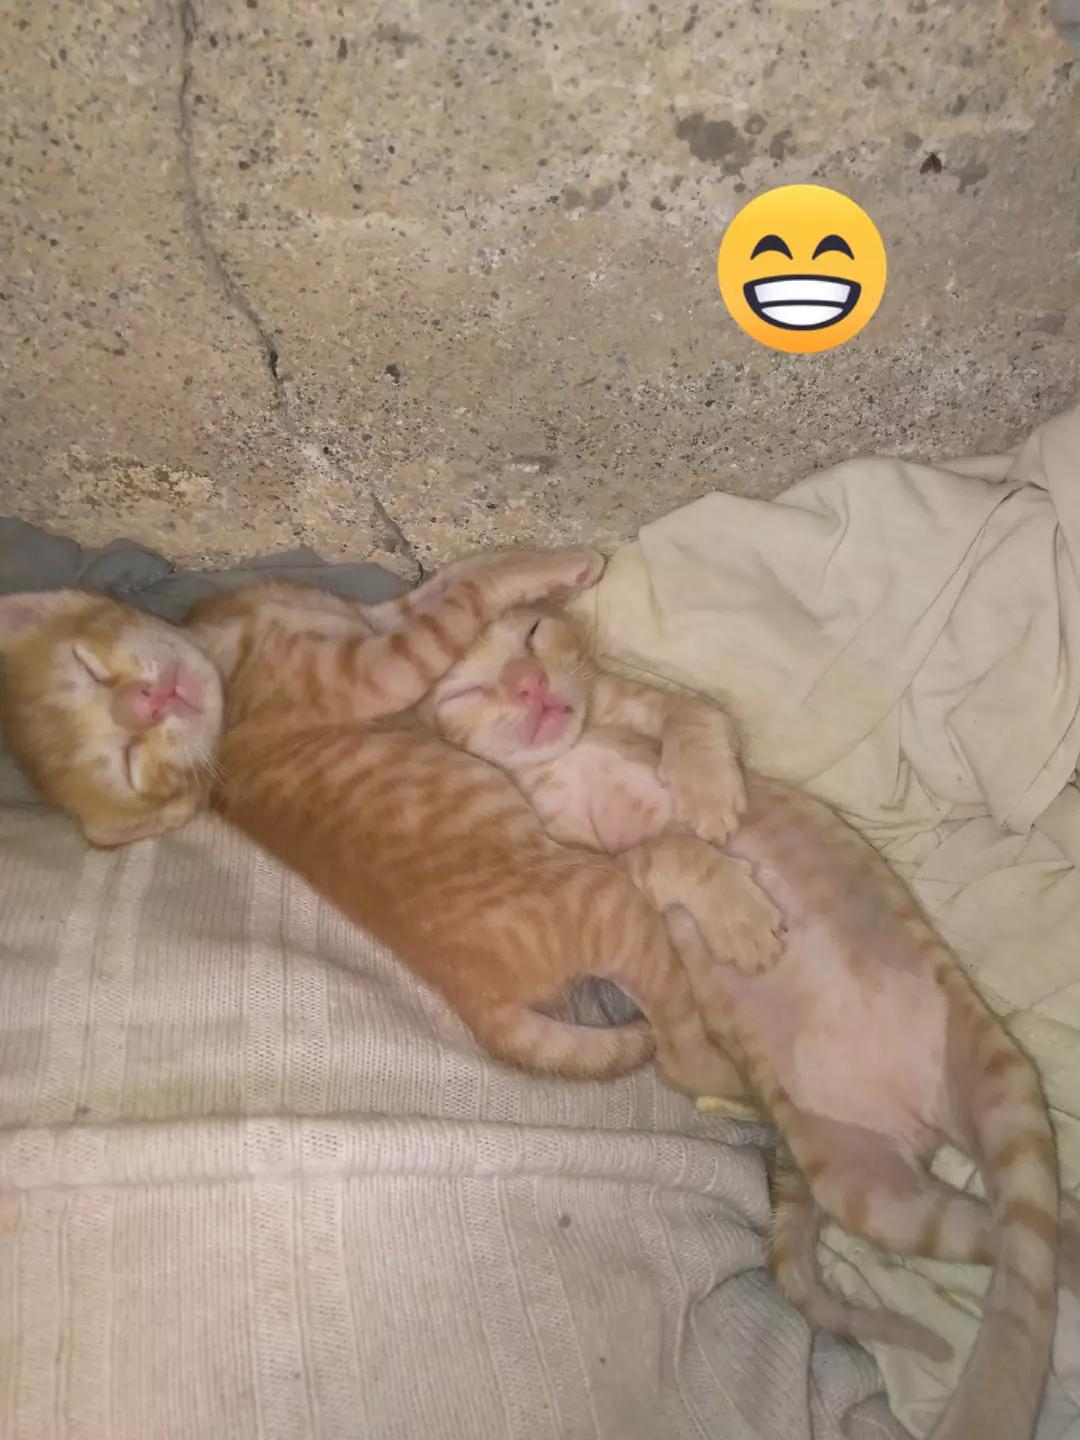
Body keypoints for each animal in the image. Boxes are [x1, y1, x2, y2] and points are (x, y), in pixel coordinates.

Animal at [426, 600, 1069, 1440]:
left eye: (531, 634)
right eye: (465, 688)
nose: (530, 686)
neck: (562, 759)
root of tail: (921, 1120)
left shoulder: (642, 710)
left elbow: (696, 717)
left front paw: (707, 792)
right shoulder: (582, 870)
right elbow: (671, 851)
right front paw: (736, 911)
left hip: (996, 1083)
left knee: (1029, 1237)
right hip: (874, 1190)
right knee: (1011, 1243)